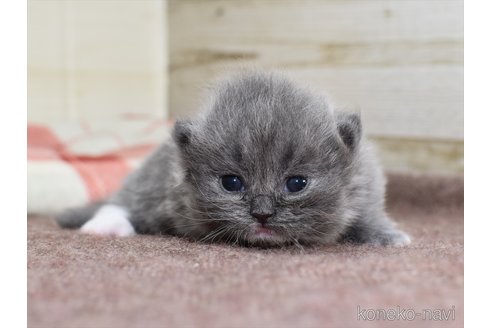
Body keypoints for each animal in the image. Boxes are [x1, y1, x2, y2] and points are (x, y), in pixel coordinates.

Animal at [56, 71, 412, 246]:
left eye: (296, 183)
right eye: (232, 183)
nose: (262, 213)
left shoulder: (365, 182)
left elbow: (368, 214)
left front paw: (387, 236)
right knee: (122, 202)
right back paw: (103, 226)